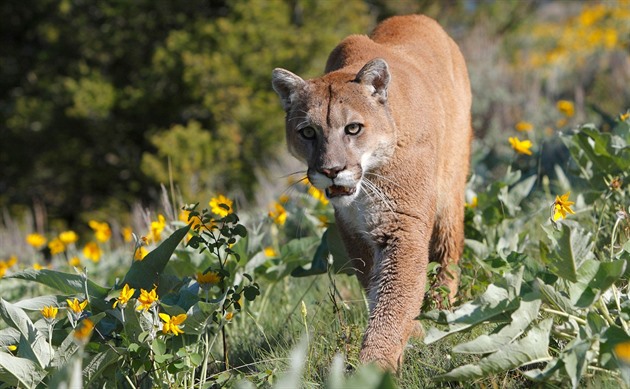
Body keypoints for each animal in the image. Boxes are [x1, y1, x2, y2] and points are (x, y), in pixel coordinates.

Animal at [272, 13, 474, 368]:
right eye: (308, 132)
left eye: (353, 128)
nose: (331, 170)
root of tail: (416, 16)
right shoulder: (351, 227)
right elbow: (374, 284)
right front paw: (410, 333)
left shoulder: (401, 224)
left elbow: (395, 294)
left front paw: (375, 364)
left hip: (450, 187)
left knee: (448, 250)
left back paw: (441, 309)